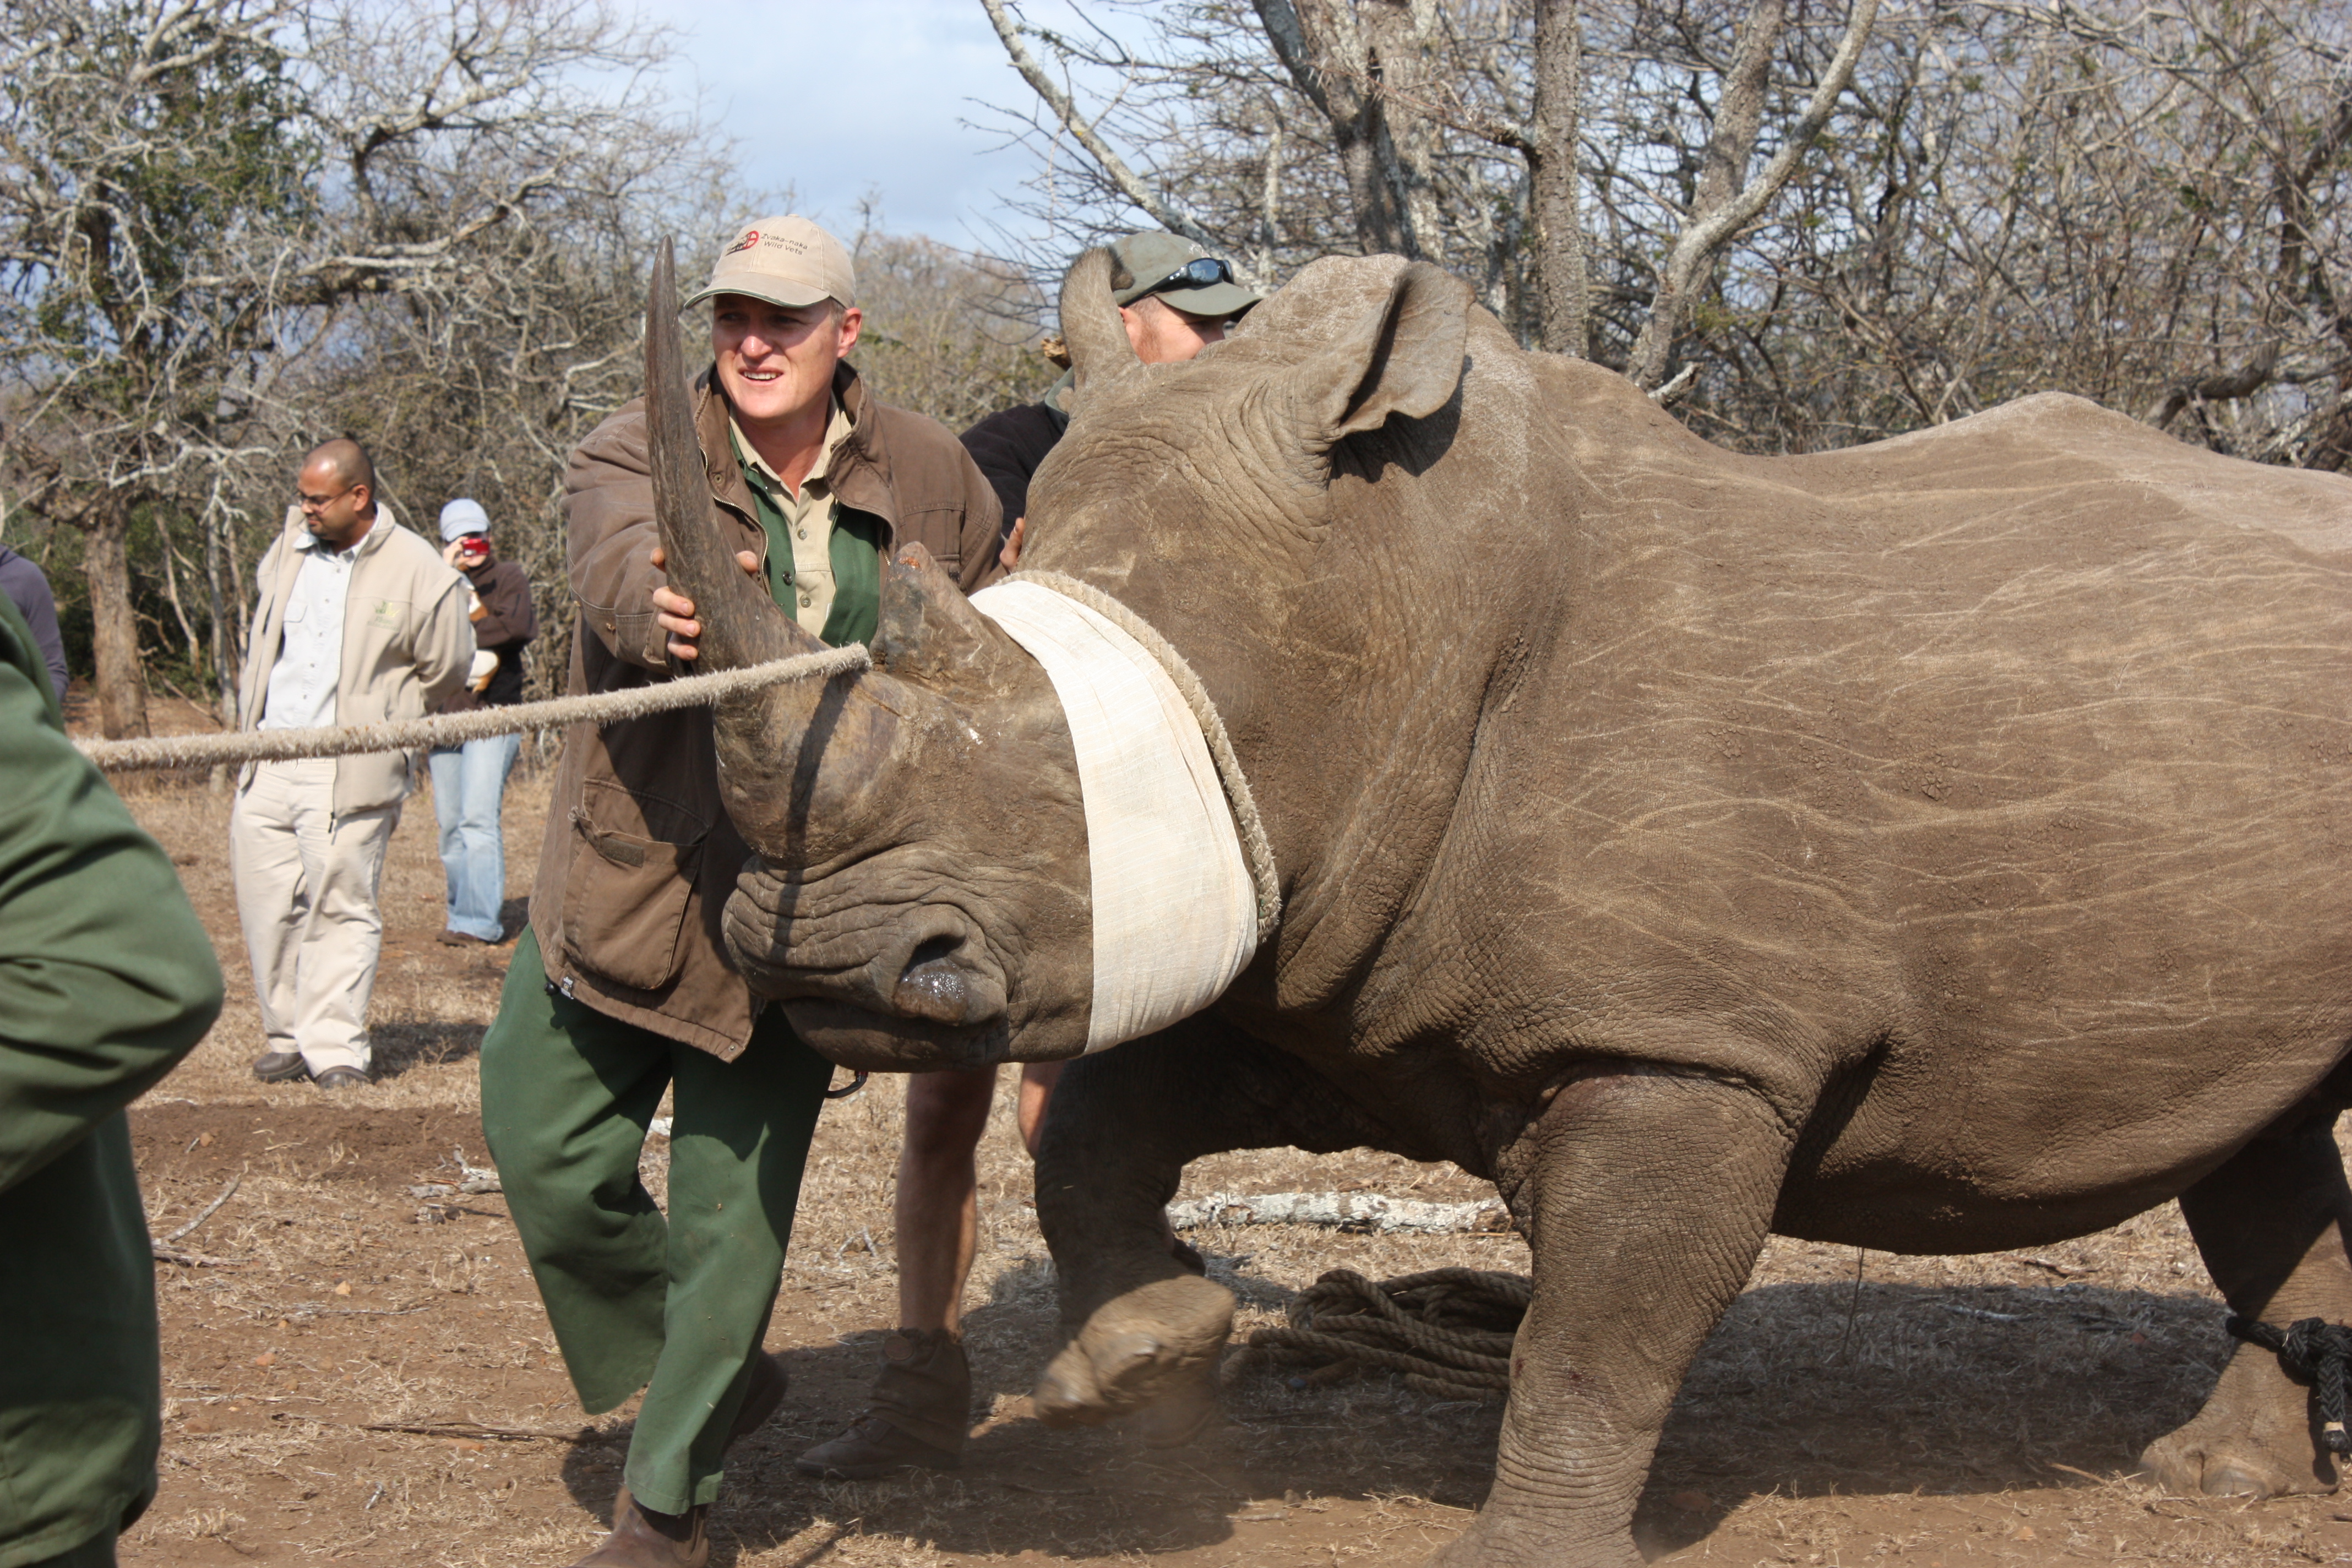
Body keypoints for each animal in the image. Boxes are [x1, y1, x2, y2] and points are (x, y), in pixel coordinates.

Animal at [645, 239, 2352, 1566]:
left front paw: (1522, 1544)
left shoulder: (1685, 1040)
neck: (1403, 586)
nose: (826, 969)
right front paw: (1142, 1361)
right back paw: (2216, 1478)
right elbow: (1100, 1138)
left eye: (1085, 773)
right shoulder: (1324, 952)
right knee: (2257, 1130)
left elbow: (1597, 1334)